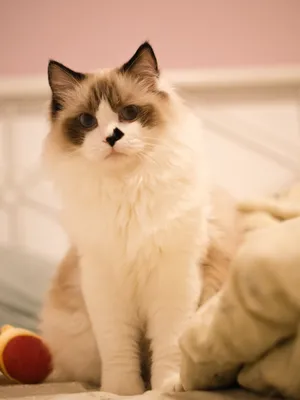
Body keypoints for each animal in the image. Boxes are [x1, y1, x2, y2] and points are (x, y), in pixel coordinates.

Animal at [40, 41, 211, 394]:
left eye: (129, 114)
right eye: (87, 121)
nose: (112, 137)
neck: (127, 190)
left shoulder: (172, 281)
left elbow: (169, 346)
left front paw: (165, 387)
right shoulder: (105, 285)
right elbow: (118, 351)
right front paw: (123, 392)